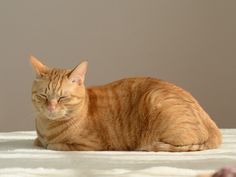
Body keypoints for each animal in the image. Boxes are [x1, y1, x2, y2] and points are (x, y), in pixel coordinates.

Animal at [30, 56, 221, 151]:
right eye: (43, 96)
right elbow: (37, 141)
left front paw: (51, 144)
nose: (50, 107)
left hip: (156, 100)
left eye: (63, 98)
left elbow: (55, 146)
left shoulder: (90, 145)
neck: (46, 127)